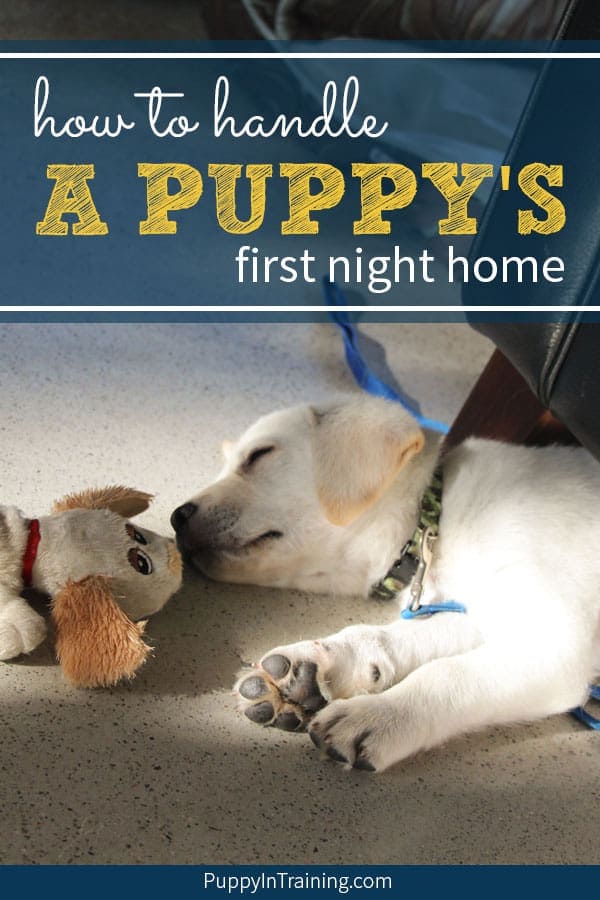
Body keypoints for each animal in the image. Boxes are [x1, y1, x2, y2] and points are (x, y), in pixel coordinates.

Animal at [170, 398, 600, 768]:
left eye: (260, 454)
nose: (176, 517)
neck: (435, 520)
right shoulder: (473, 613)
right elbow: (391, 635)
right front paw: (322, 664)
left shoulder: (556, 642)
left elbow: (447, 673)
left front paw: (380, 715)